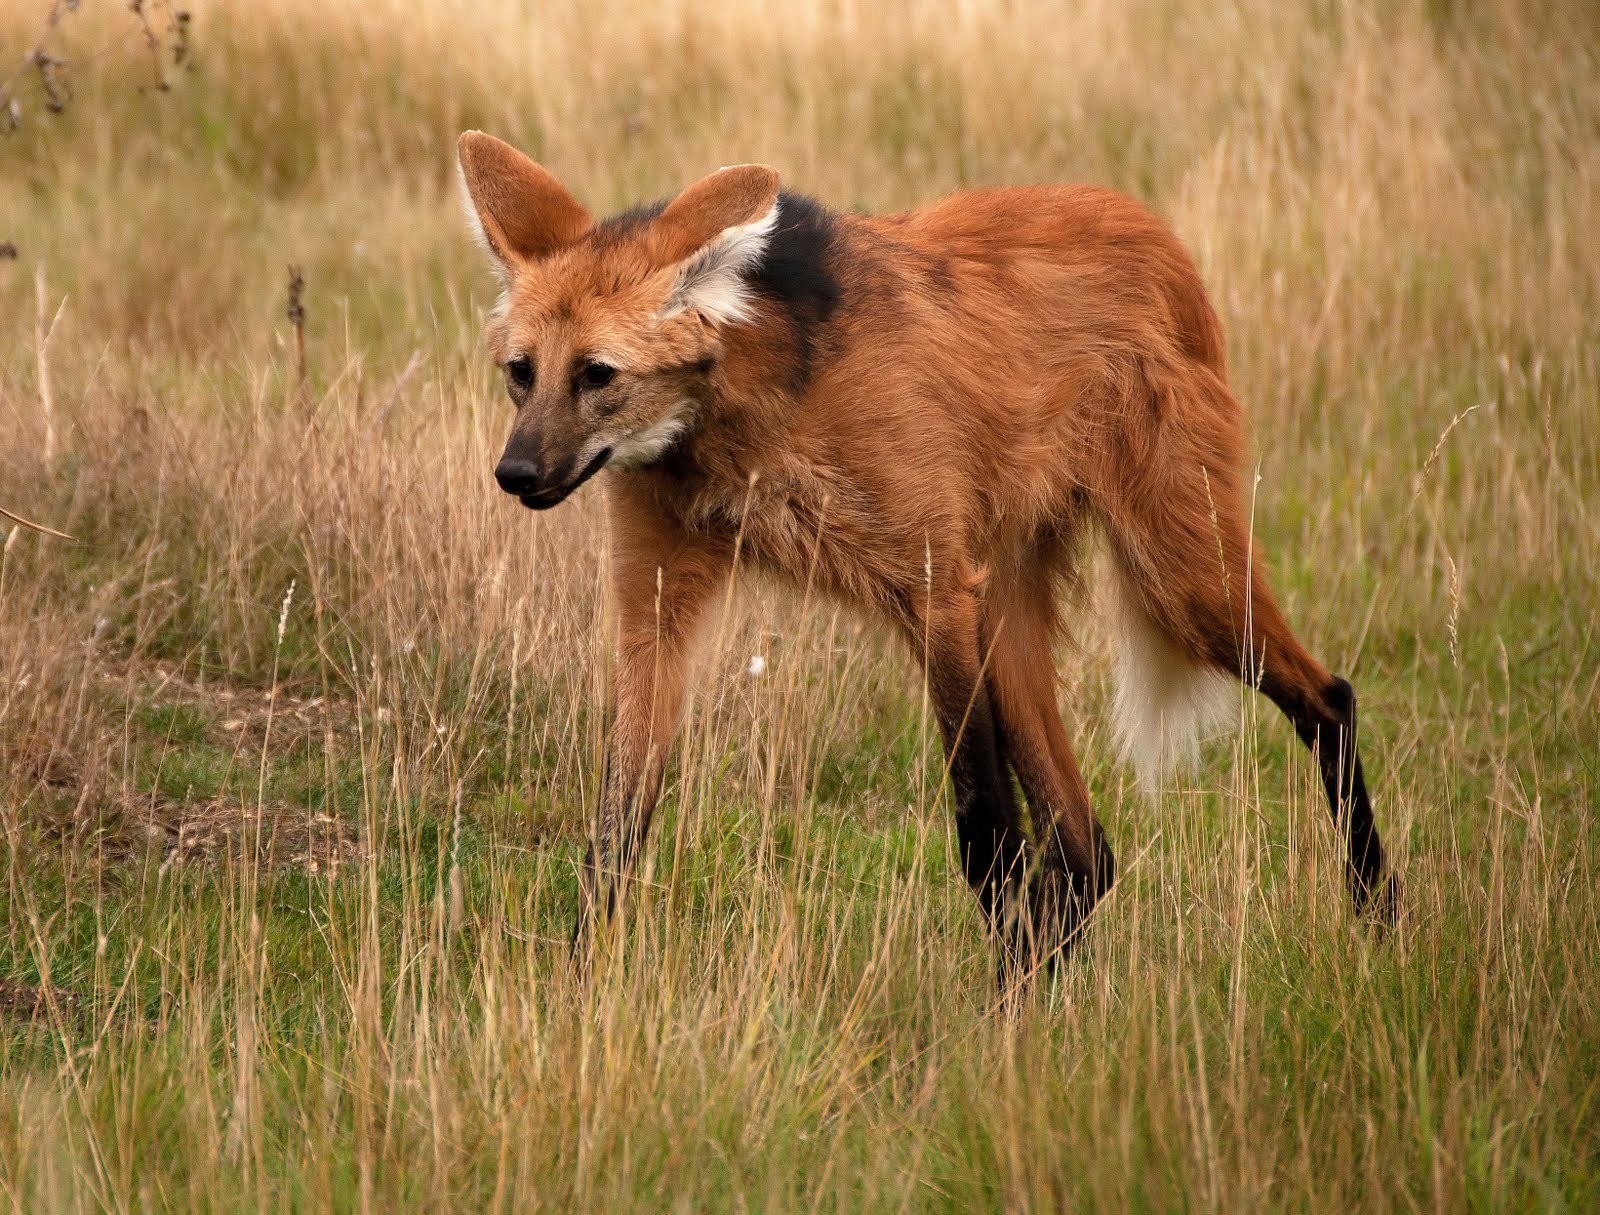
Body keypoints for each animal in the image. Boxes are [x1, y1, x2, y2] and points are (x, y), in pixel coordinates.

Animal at [457, 130, 1395, 979]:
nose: (515, 473)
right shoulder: (658, 597)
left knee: (1325, 698)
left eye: (597, 375)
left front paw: (1001, 1025)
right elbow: (617, 822)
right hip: (1012, 602)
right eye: (522, 372)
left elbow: (984, 830)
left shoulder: (934, 588)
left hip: (1177, 571)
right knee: (1087, 846)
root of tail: (1153, 231)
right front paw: (581, 992)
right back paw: (1052, 986)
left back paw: (1376, 916)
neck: (737, 423)